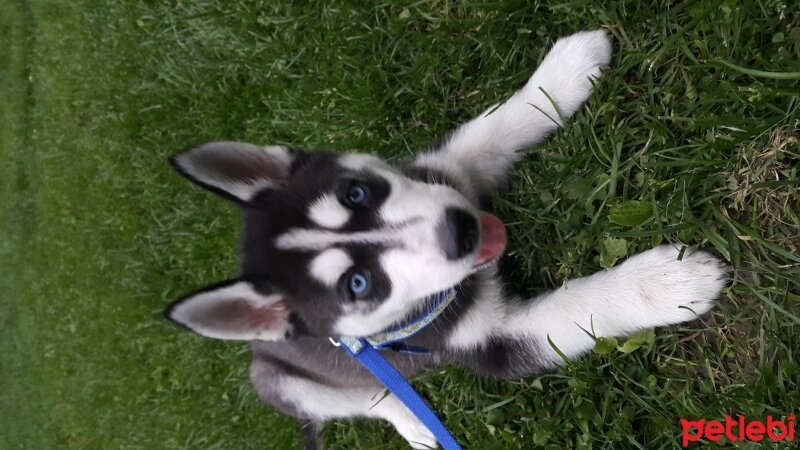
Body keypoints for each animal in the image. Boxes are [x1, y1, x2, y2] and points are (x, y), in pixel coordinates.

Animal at [166, 29, 728, 448]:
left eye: (356, 192)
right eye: (357, 285)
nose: (463, 228)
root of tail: (256, 349)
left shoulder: (446, 170)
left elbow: (494, 127)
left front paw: (566, 70)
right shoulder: (492, 343)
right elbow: (575, 309)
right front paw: (667, 283)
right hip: (282, 382)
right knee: (366, 400)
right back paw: (413, 423)